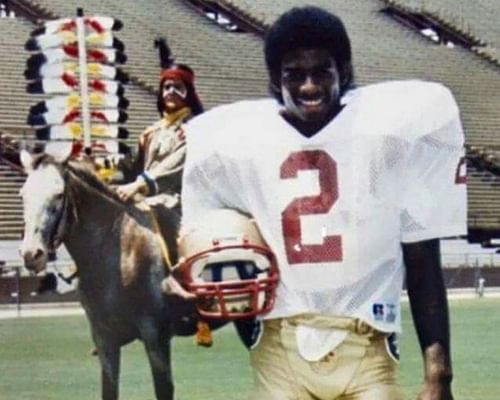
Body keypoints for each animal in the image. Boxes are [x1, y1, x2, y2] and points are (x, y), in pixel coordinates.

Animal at [19, 148, 209, 400]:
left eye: (59, 195)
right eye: (23, 195)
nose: (31, 254)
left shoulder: (155, 336)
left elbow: (163, 389)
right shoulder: (105, 339)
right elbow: (109, 389)